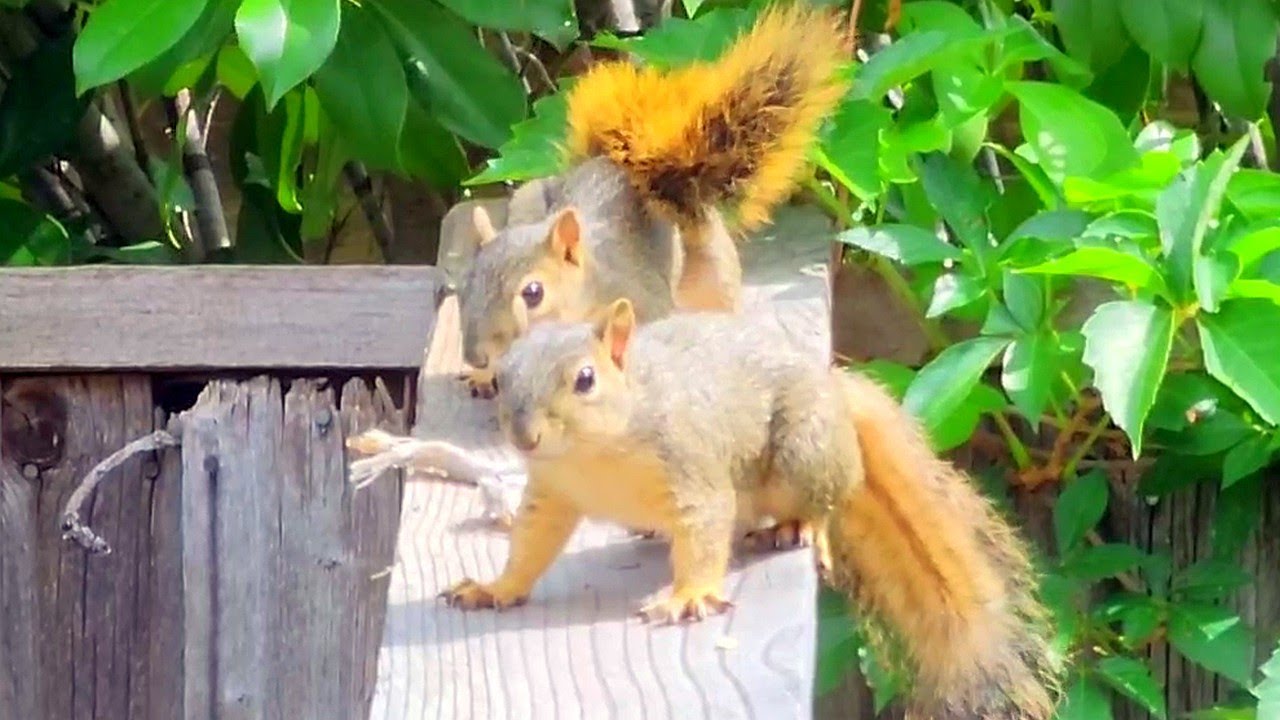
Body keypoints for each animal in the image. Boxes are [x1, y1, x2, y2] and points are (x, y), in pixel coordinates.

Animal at [441, 300, 1061, 720]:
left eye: (585, 379)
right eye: (502, 377)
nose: (523, 437)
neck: (590, 456)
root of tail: (833, 395)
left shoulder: (692, 469)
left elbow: (705, 530)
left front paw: (688, 594)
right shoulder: (550, 492)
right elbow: (531, 543)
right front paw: (495, 588)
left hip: (802, 452)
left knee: (823, 499)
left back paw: (799, 526)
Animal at [456, 3, 849, 398]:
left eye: (533, 293)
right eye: (465, 283)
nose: (476, 356)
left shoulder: (639, 296)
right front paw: (484, 376)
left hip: (712, 272)